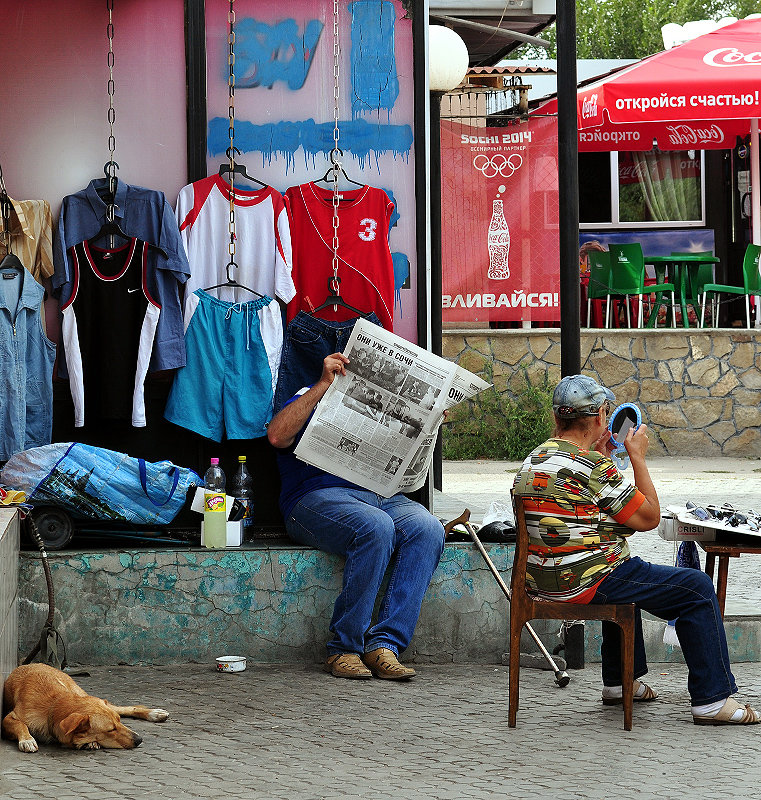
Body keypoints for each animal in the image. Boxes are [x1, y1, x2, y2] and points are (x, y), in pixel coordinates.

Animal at [1, 660, 168, 752]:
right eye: (111, 730)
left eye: (120, 722)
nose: (139, 739)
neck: (54, 705)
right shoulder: (9, 718)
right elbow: (20, 725)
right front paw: (27, 740)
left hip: (81, 692)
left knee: (125, 708)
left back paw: (154, 713)